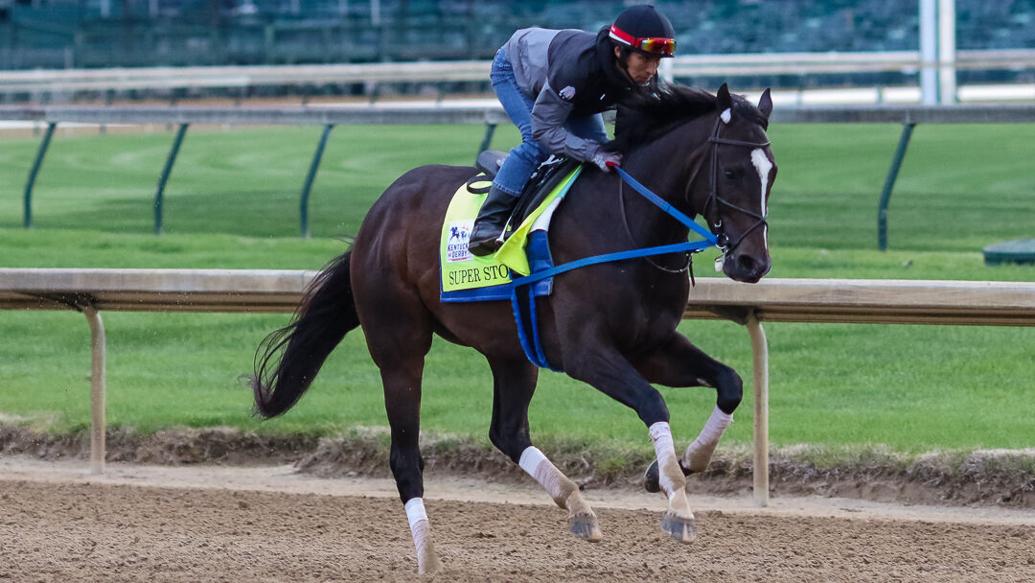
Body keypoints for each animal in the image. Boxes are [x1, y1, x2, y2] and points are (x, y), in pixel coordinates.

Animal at [252, 84, 778, 575]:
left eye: (771, 172)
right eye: (732, 172)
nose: (752, 262)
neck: (627, 225)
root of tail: (377, 215)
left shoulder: (651, 344)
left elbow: (730, 382)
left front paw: (676, 468)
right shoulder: (585, 353)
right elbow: (652, 401)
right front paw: (677, 502)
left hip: (512, 350)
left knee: (507, 431)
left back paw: (578, 506)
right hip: (399, 346)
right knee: (405, 455)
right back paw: (429, 558)